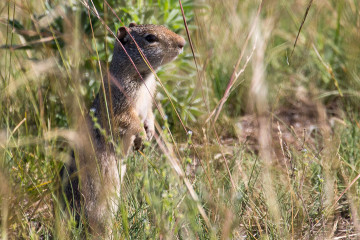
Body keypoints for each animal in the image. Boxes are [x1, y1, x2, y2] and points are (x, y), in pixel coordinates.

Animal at [60, 23, 184, 238]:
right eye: (150, 38)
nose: (183, 43)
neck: (143, 77)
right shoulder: (120, 106)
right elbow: (129, 121)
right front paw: (141, 137)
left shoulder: (148, 103)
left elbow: (149, 116)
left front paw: (148, 133)